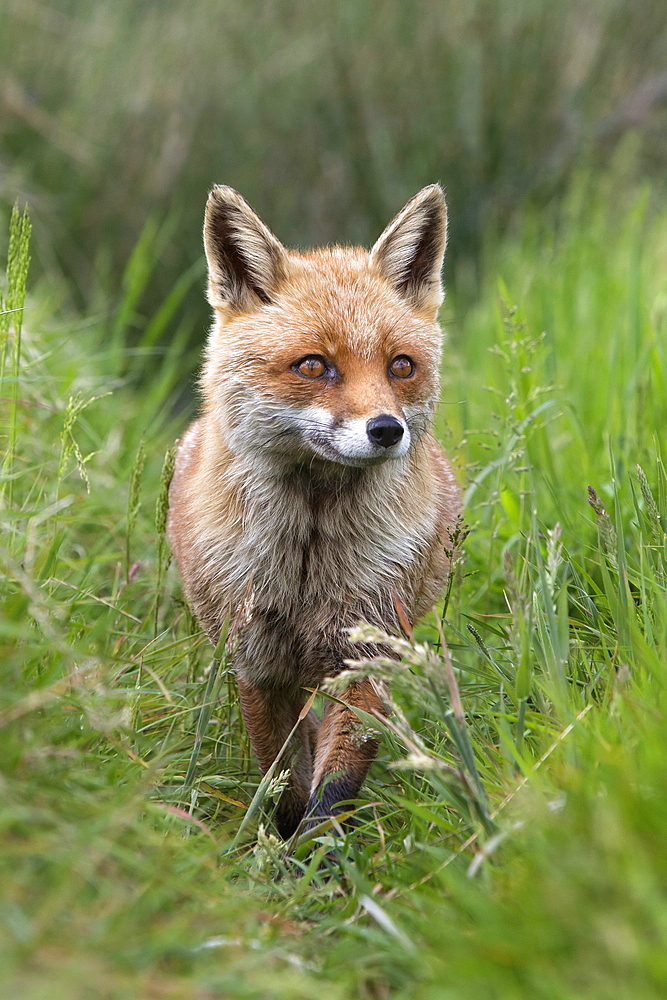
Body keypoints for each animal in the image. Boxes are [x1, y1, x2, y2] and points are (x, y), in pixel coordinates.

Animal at [167, 184, 462, 840]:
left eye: (400, 365)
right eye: (313, 365)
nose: (387, 430)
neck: (308, 559)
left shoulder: (370, 653)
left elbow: (336, 782)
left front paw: (321, 854)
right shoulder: (256, 662)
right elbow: (282, 776)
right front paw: (280, 846)